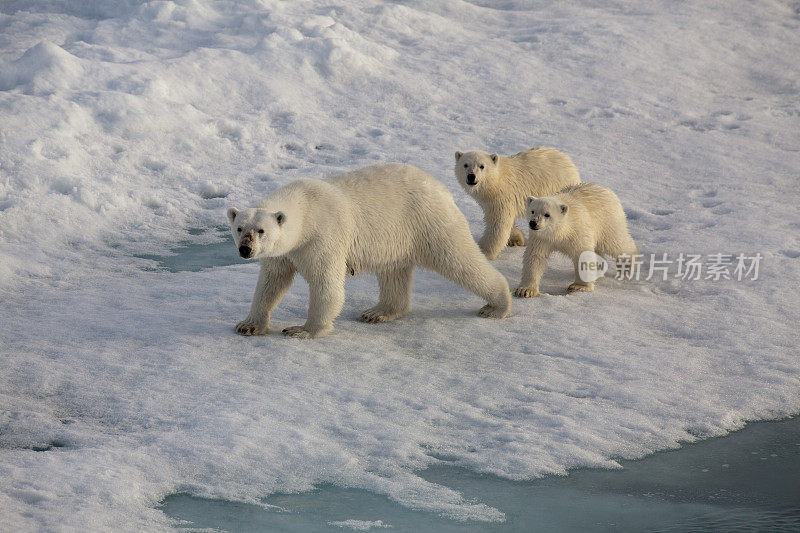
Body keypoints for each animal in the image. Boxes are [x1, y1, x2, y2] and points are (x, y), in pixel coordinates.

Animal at [227, 162, 512, 338]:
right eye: (240, 228)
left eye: (261, 230)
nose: (245, 250)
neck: (306, 208)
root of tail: (441, 188)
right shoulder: (284, 252)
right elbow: (272, 282)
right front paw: (248, 325)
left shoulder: (323, 237)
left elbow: (326, 284)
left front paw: (302, 330)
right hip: (398, 236)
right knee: (394, 272)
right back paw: (378, 312)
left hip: (429, 220)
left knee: (460, 259)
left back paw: (497, 305)